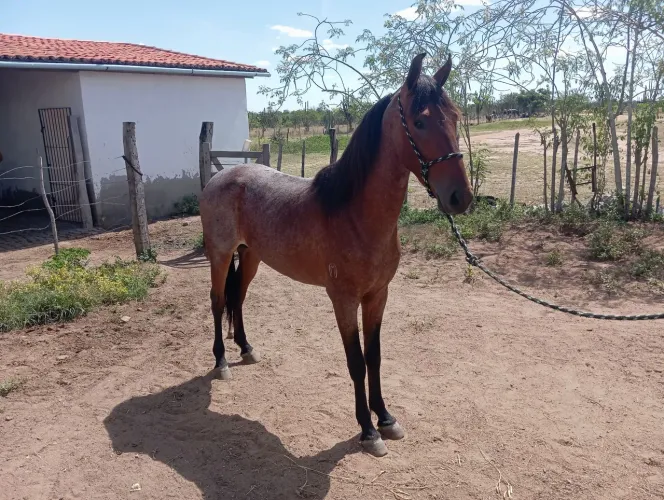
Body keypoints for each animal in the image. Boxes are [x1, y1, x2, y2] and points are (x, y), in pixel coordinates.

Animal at [199, 52, 473, 457]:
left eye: (455, 116)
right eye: (420, 121)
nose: (460, 197)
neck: (354, 214)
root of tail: (220, 177)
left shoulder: (377, 295)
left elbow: (374, 357)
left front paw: (386, 418)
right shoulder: (343, 300)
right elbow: (356, 361)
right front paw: (368, 431)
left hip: (250, 257)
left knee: (238, 298)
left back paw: (247, 349)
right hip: (220, 256)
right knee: (219, 301)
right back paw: (221, 362)